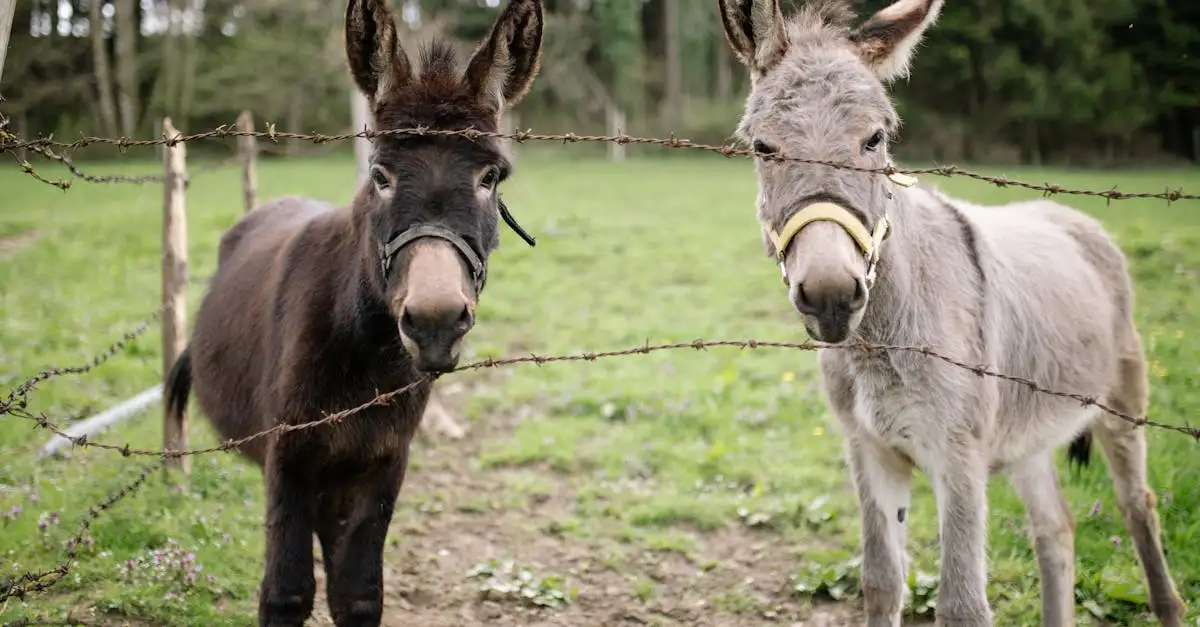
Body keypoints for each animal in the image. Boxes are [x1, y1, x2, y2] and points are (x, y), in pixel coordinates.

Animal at [162, 0, 544, 624]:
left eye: (491, 177)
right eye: (380, 175)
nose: (435, 321)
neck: (368, 361)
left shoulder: (383, 464)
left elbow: (360, 594)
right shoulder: (289, 460)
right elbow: (287, 592)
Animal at [715, 0, 1185, 625]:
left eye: (875, 139)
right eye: (763, 147)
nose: (832, 294)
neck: (880, 344)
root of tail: (1068, 216)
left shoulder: (958, 458)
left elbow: (962, 604)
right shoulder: (870, 450)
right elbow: (881, 581)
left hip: (1122, 407)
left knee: (1139, 507)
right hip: (1028, 432)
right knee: (1056, 529)